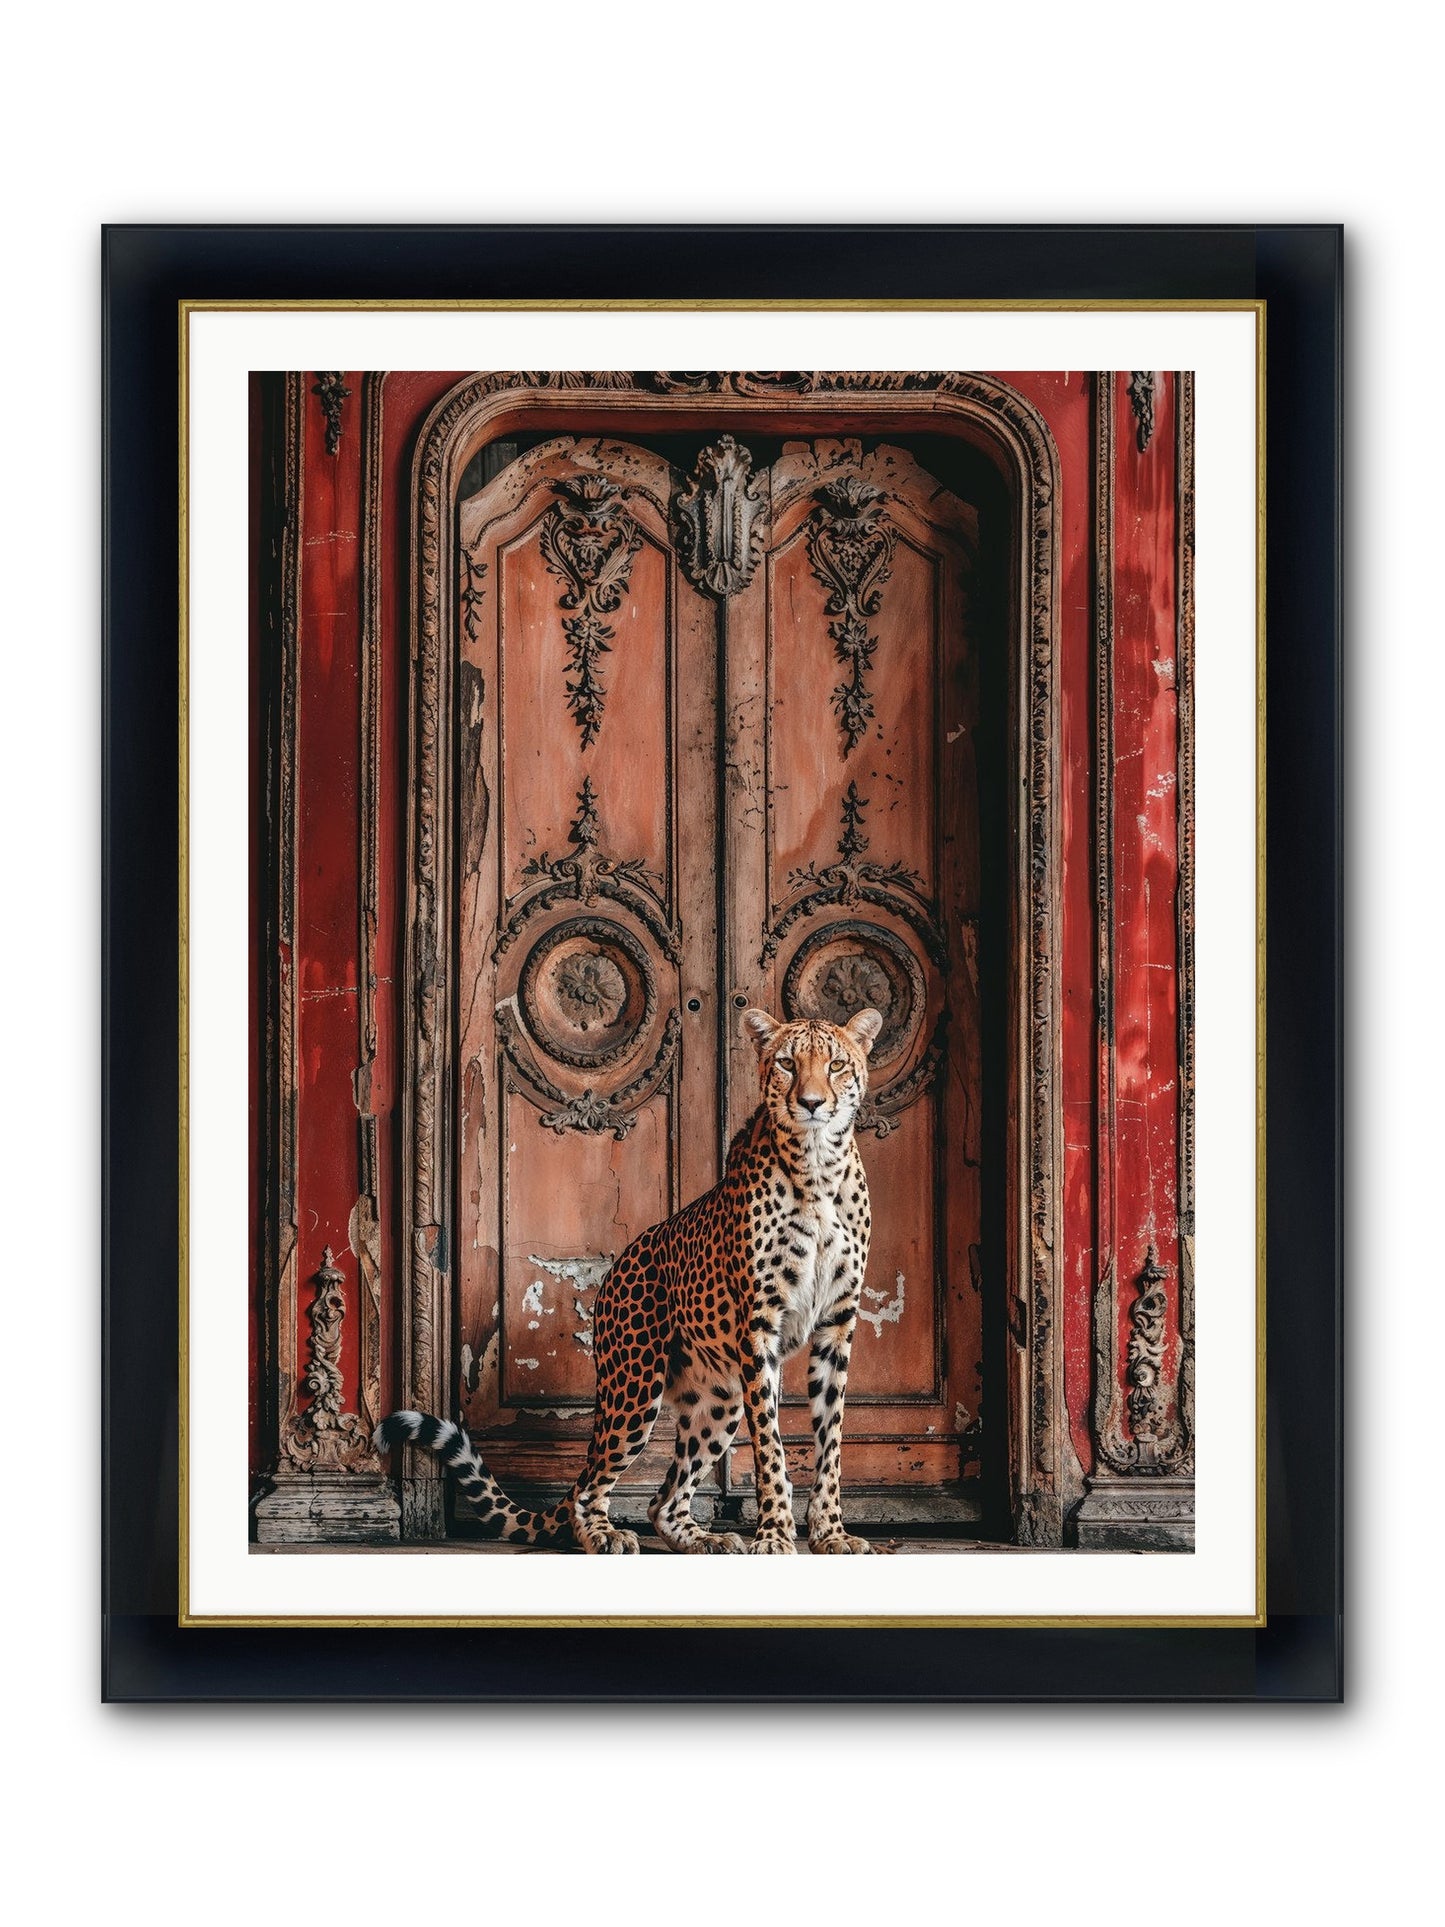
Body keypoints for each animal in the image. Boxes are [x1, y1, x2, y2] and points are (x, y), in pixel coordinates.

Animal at [375, 1004, 883, 1555]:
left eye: (836, 1064)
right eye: (788, 1064)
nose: (811, 1103)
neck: (818, 1168)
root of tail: (618, 1264)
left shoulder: (837, 1323)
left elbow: (830, 1440)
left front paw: (831, 1533)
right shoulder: (760, 1326)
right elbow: (770, 1443)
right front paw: (773, 1535)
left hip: (719, 1399)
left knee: (662, 1501)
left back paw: (706, 1539)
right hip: (635, 1387)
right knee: (589, 1486)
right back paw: (605, 1534)